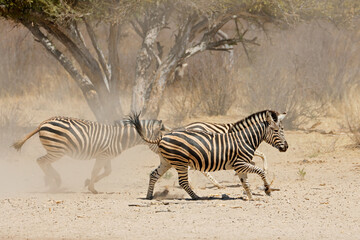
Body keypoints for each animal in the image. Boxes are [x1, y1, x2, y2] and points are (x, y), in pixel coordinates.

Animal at [11, 116, 165, 193]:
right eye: (160, 137)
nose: (163, 150)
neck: (121, 138)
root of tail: (44, 122)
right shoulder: (103, 155)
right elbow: (95, 170)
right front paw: (92, 188)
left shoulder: (106, 156)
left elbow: (107, 172)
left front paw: (88, 183)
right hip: (57, 150)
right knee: (41, 161)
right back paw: (56, 182)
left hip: (55, 150)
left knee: (44, 162)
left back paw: (53, 182)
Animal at [128, 110, 288, 201]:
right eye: (276, 130)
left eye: (282, 129)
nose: (286, 147)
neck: (244, 139)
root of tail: (163, 137)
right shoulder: (240, 164)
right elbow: (260, 171)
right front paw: (267, 190)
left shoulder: (241, 167)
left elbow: (246, 182)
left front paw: (250, 197)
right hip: (180, 162)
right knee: (183, 182)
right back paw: (196, 197)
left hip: (166, 161)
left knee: (153, 174)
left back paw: (149, 196)